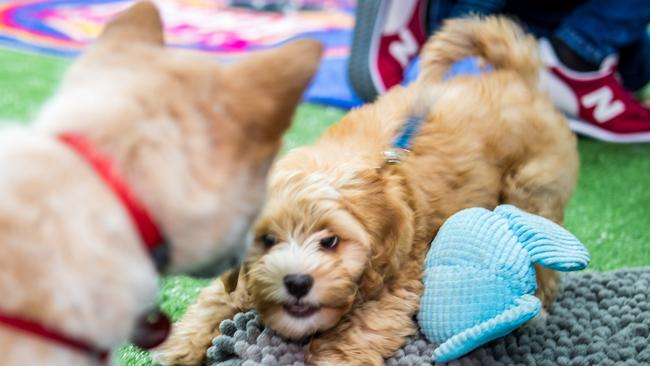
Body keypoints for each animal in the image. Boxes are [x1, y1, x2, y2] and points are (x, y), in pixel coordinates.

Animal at [153, 15, 576, 364]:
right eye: (267, 241)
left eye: (330, 242)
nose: (296, 282)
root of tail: (517, 78)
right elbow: (216, 298)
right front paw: (180, 346)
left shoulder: (397, 282)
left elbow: (356, 334)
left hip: (531, 188)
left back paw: (538, 303)